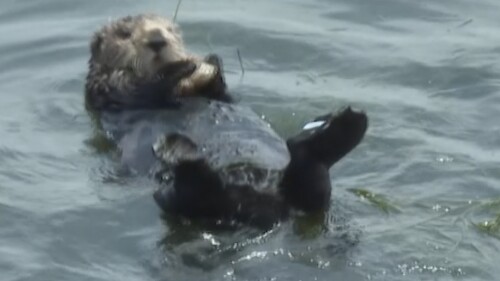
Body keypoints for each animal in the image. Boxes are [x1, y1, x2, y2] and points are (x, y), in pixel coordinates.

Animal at [84, 13, 230, 111]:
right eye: (125, 34)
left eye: (169, 30)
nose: (157, 40)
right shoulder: (109, 86)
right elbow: (142, 91)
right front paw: (184, 65)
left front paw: (212, 60)